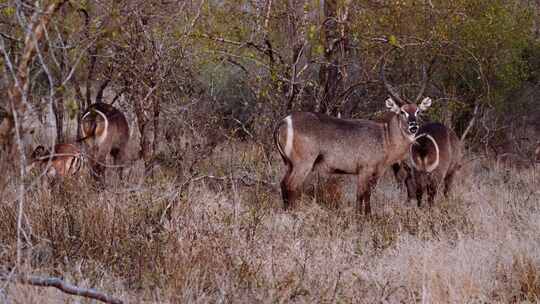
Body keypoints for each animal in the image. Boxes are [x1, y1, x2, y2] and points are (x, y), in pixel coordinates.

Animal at [276, 57, 432, 214]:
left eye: (417, 111)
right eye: (402, 111)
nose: (413, 127)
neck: (385, 137)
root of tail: (284, 121)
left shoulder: (371, 172)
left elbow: (364, 195)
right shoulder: (365, 170)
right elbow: (363, 195)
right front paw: (364, 216)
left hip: (290, 164)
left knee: (283, 184)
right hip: (303, 164)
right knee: (290, 185)